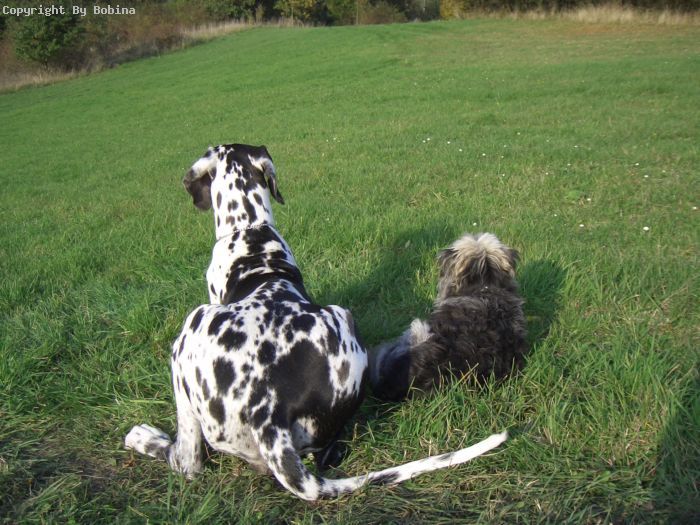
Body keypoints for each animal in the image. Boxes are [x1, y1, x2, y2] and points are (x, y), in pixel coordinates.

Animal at [125, 145, 507, 500]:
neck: (250, 230)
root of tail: (267, 411)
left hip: (190, 330)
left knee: (187, 461)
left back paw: (146, 438)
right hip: (343, 322)